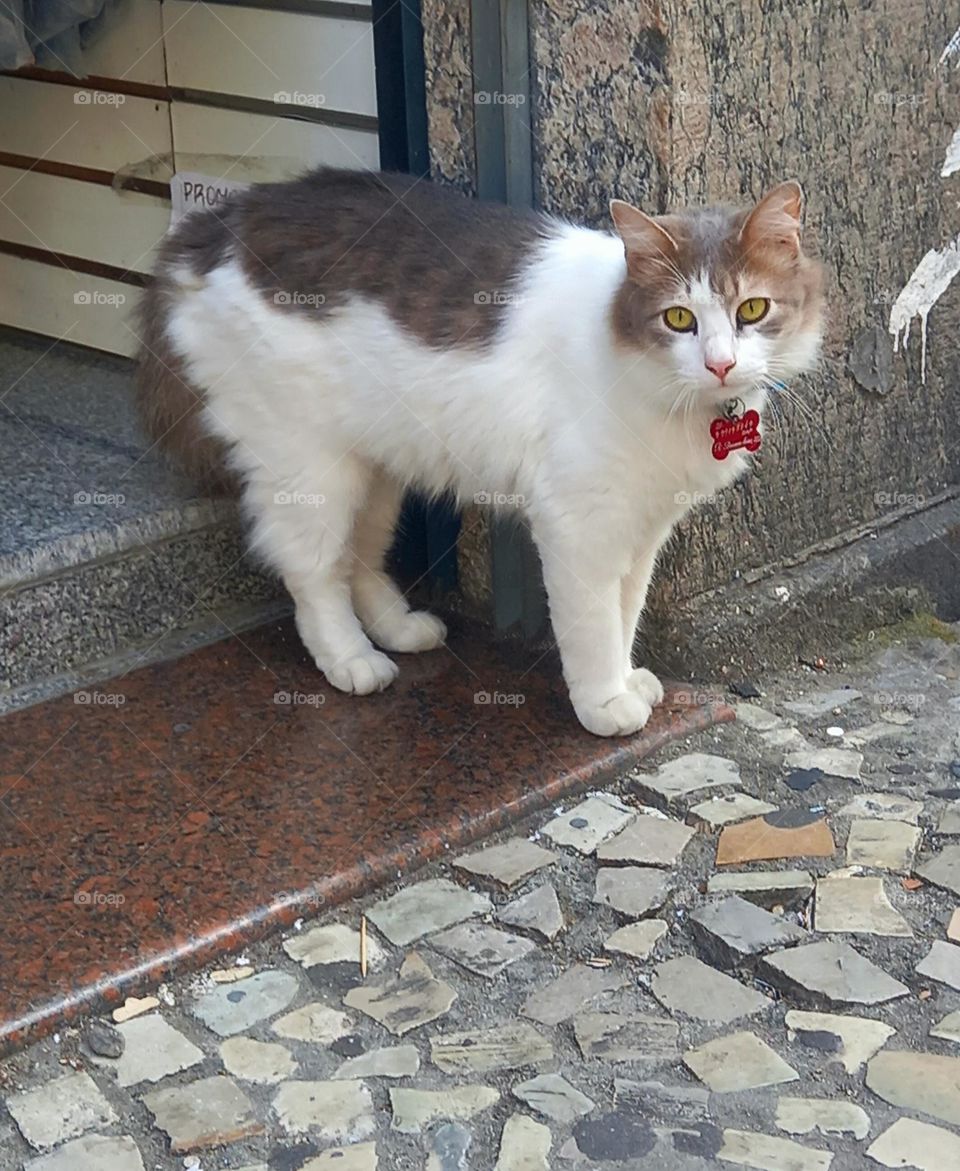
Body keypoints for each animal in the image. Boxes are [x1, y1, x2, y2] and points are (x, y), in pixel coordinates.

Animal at [136, 169, 824, 735]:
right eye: (679, 318)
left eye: (753, 309)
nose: (720, 364)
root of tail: (214, 224)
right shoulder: (580, 524)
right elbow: (594, 625)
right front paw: (605, 701)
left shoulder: (643, 525)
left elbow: (626, 611)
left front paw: (628, 679)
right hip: (313, 470)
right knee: (314, 576)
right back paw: (353, 660)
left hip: (379, 469)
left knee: (360, 560)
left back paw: (400, 629)